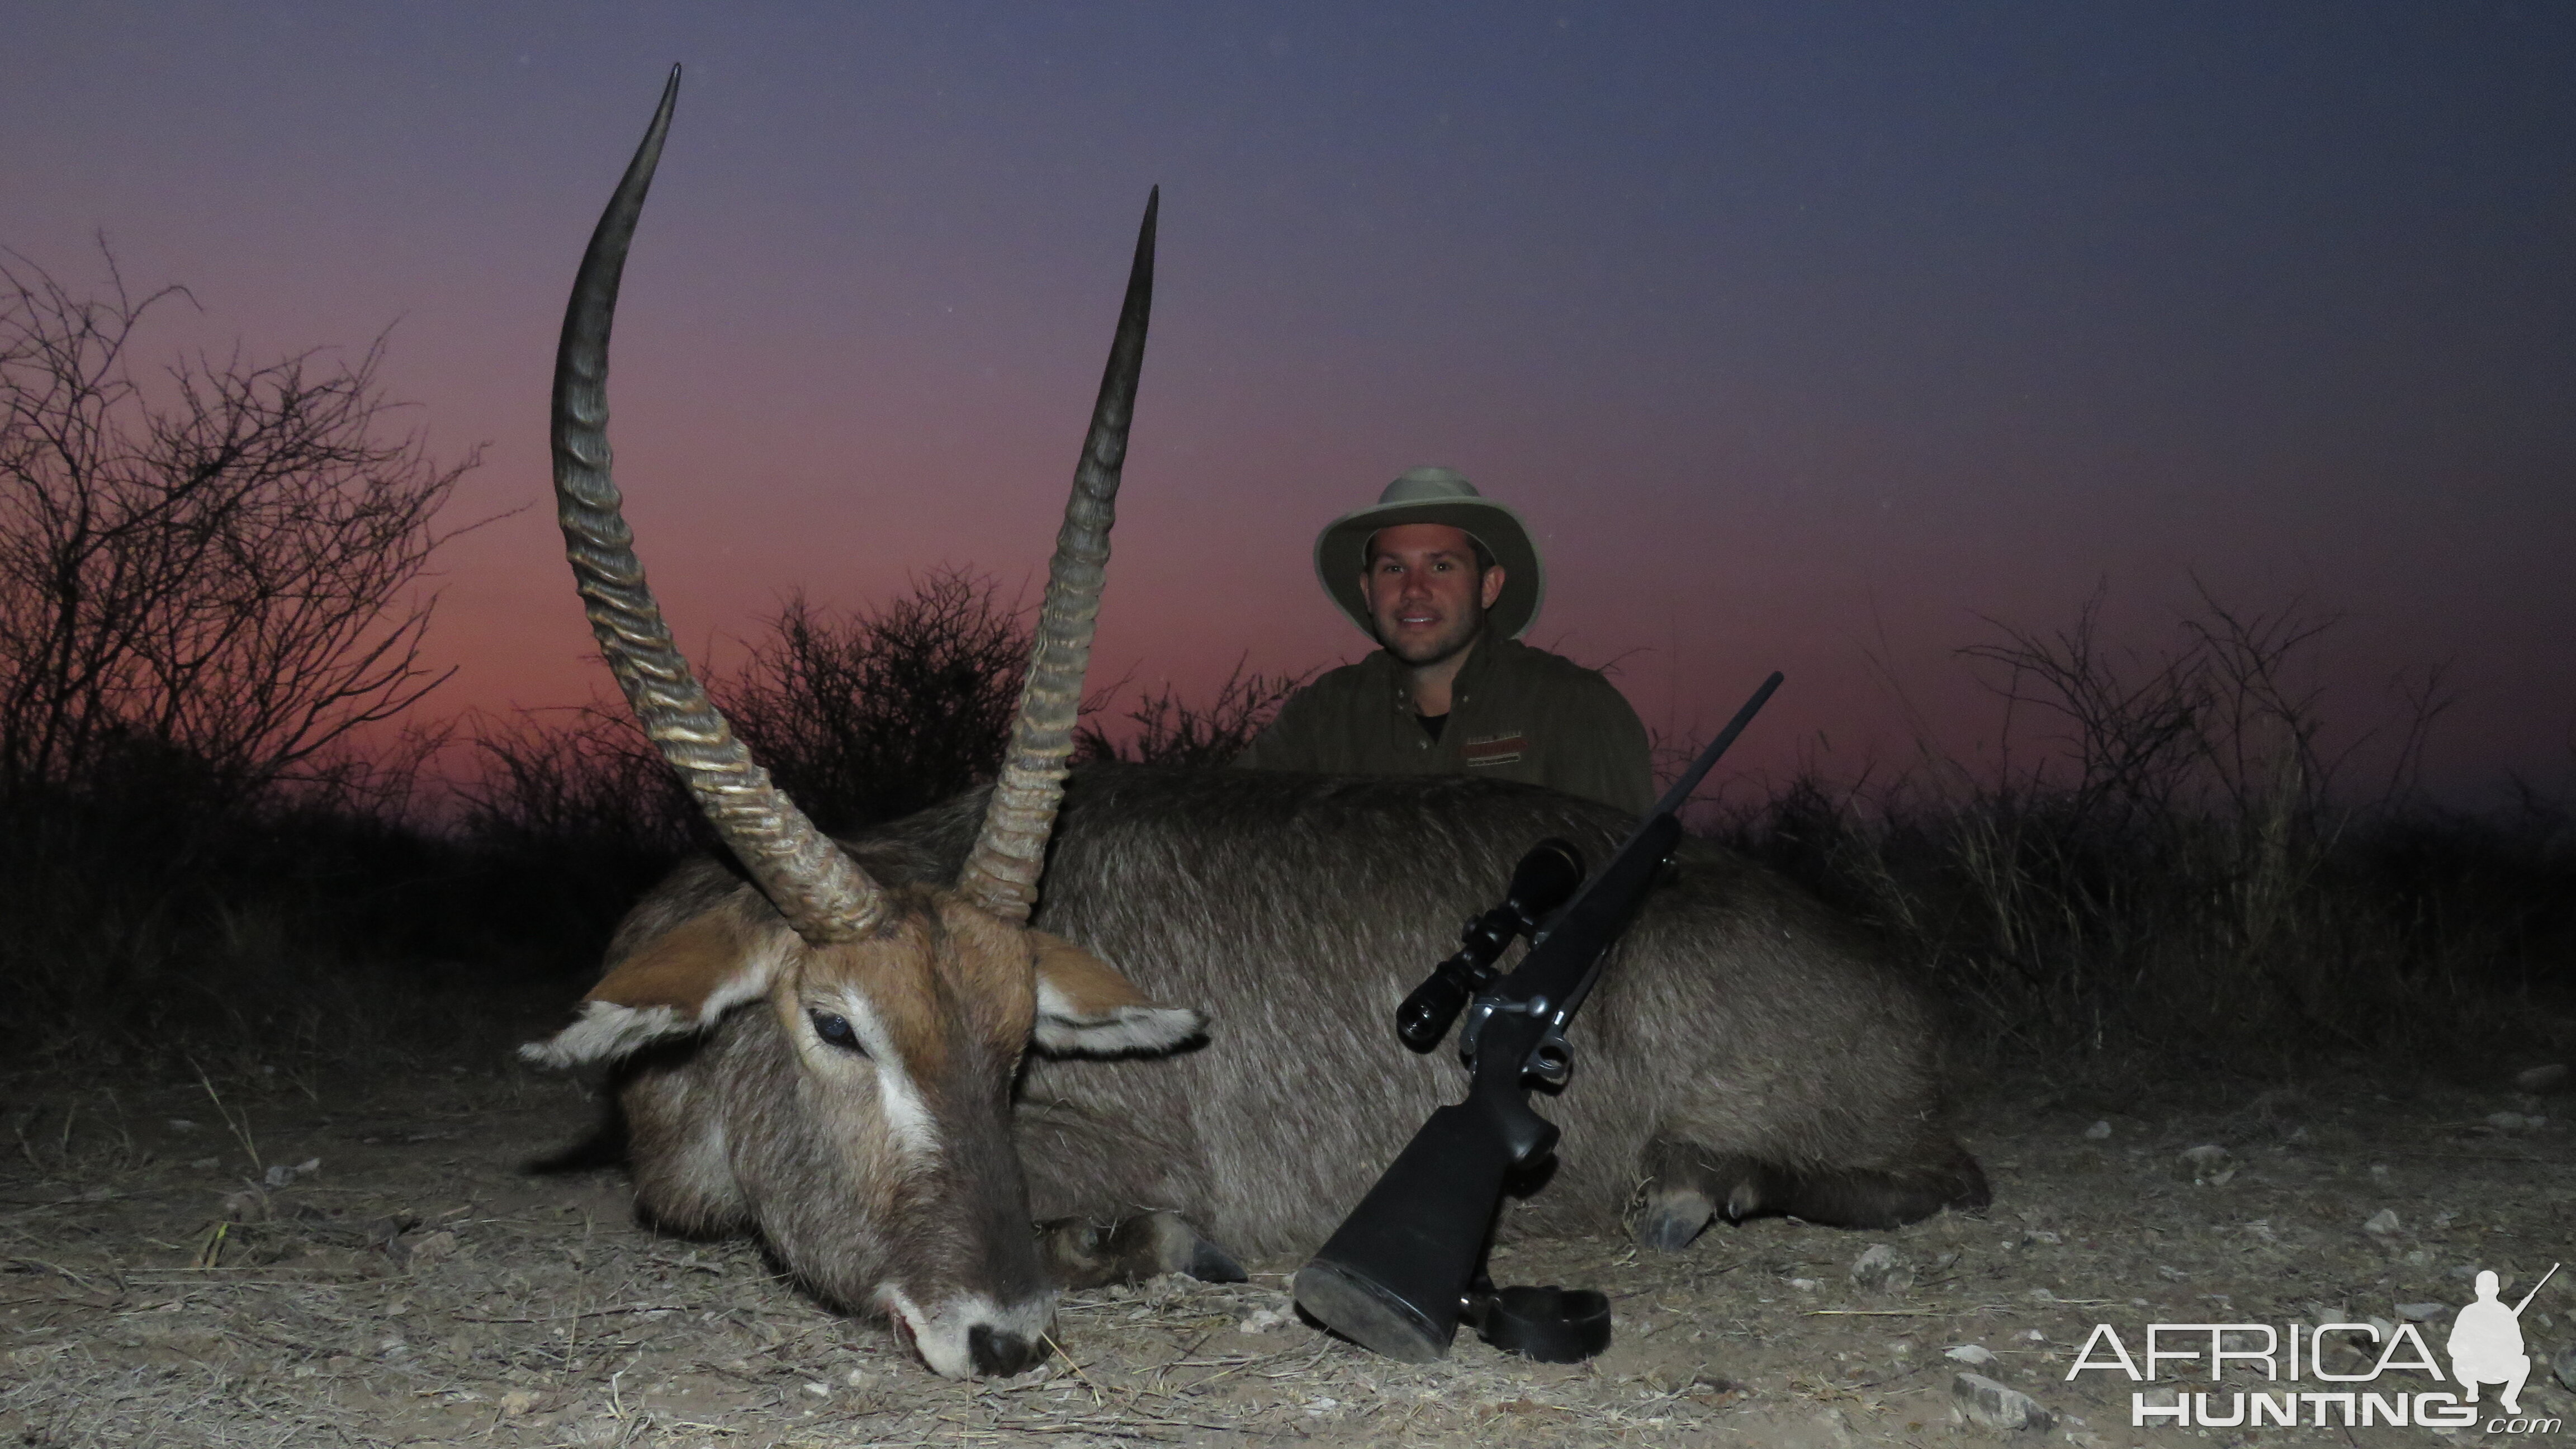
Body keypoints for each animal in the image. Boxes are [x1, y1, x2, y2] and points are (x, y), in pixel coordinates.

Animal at [523, 70, 1988, 1371]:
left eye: (1017, 1043)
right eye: (836, 1024)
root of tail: (1899, 995)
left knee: (1941, 1174)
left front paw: (1154, 1247)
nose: (999, 1334)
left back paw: (1697, 1183)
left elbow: (1155, 1219)